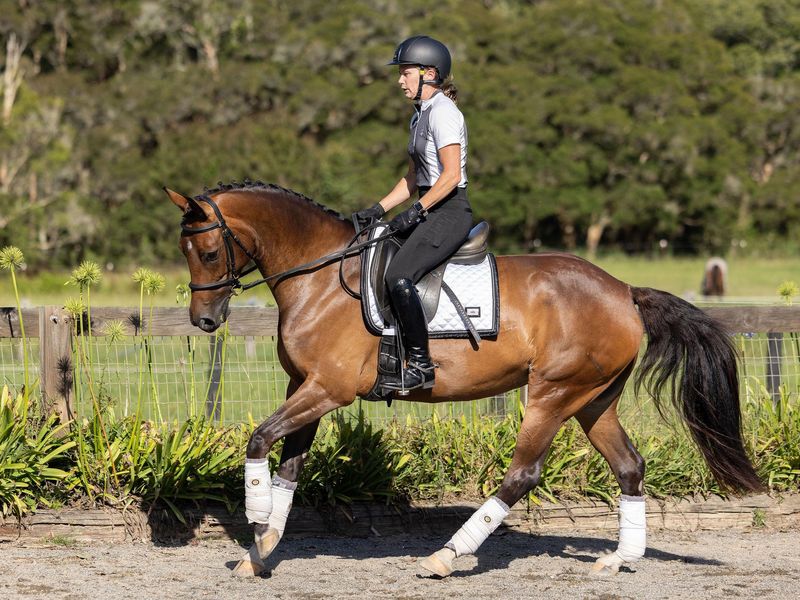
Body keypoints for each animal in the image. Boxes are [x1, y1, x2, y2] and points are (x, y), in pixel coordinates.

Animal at [166, 181, 762, 579]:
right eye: (185, 251)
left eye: (210, 251)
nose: (204, 322)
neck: (321, 277)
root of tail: (623, 291)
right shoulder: (303, 388)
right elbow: (289, 465)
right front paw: (263, 549)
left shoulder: (327, 390)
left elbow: (259, 440)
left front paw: (255, 517)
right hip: (594, 400)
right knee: (630, 466)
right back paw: (618, 559)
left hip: (552, 394)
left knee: (522, 474)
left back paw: (447, 555)